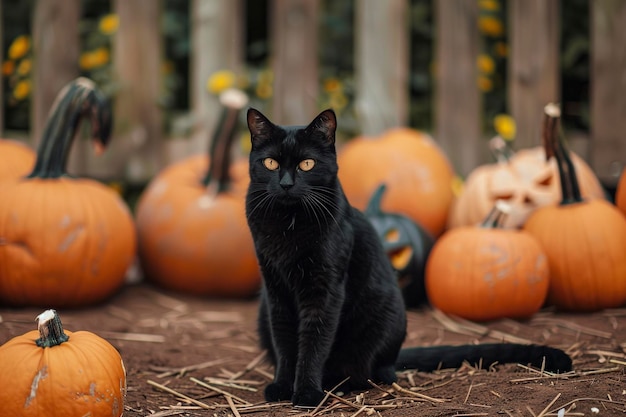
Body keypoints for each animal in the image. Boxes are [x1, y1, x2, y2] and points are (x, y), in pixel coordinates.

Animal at [244, 107, 572, 406]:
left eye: (307, 164)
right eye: (271, 163)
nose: (286, 184)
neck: (288, 223)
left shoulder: (324, 289)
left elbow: (313, 341)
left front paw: (307, 393)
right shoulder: (275, 288)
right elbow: (285, 341)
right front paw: (282, 387)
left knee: (374, 372)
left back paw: (340, 382)